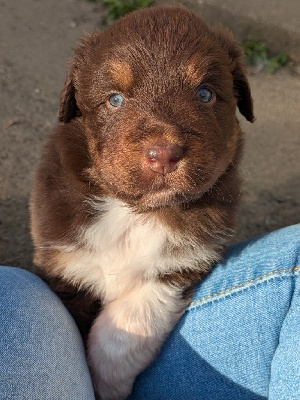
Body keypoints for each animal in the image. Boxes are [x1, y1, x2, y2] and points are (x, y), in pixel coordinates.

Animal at [30, 7, 254, 400]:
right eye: (115, 99)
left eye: (205, 94)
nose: (163, 154)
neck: (133, 213)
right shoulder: (65, 263)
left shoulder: (177, 268)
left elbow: (126, 328)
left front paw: (107, 385)